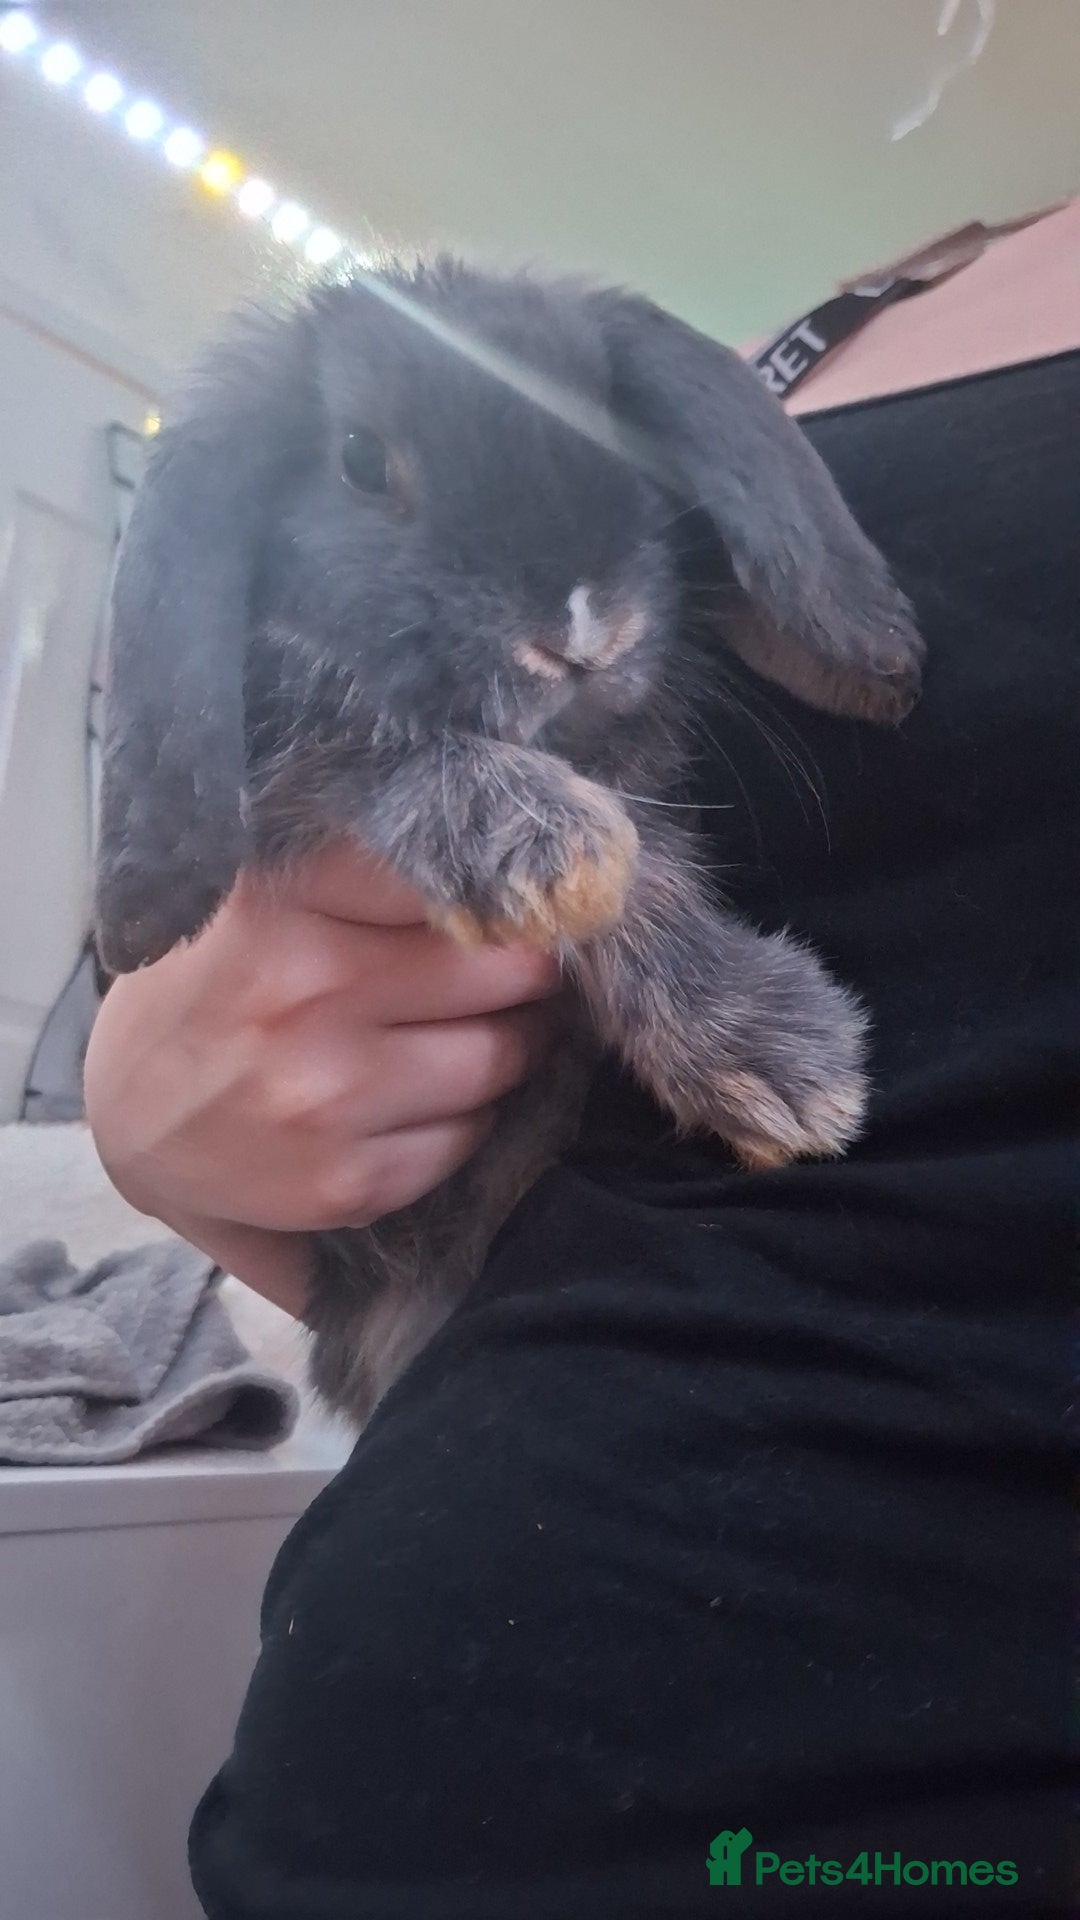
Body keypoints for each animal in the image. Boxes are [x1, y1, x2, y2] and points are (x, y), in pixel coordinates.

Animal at [95, 257, 923, 1424]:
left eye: (611, 415)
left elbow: (651, 876)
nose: (583, 630)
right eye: (359, 459)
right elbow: (415, 771)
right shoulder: (309, 775)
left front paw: (776, 1057)